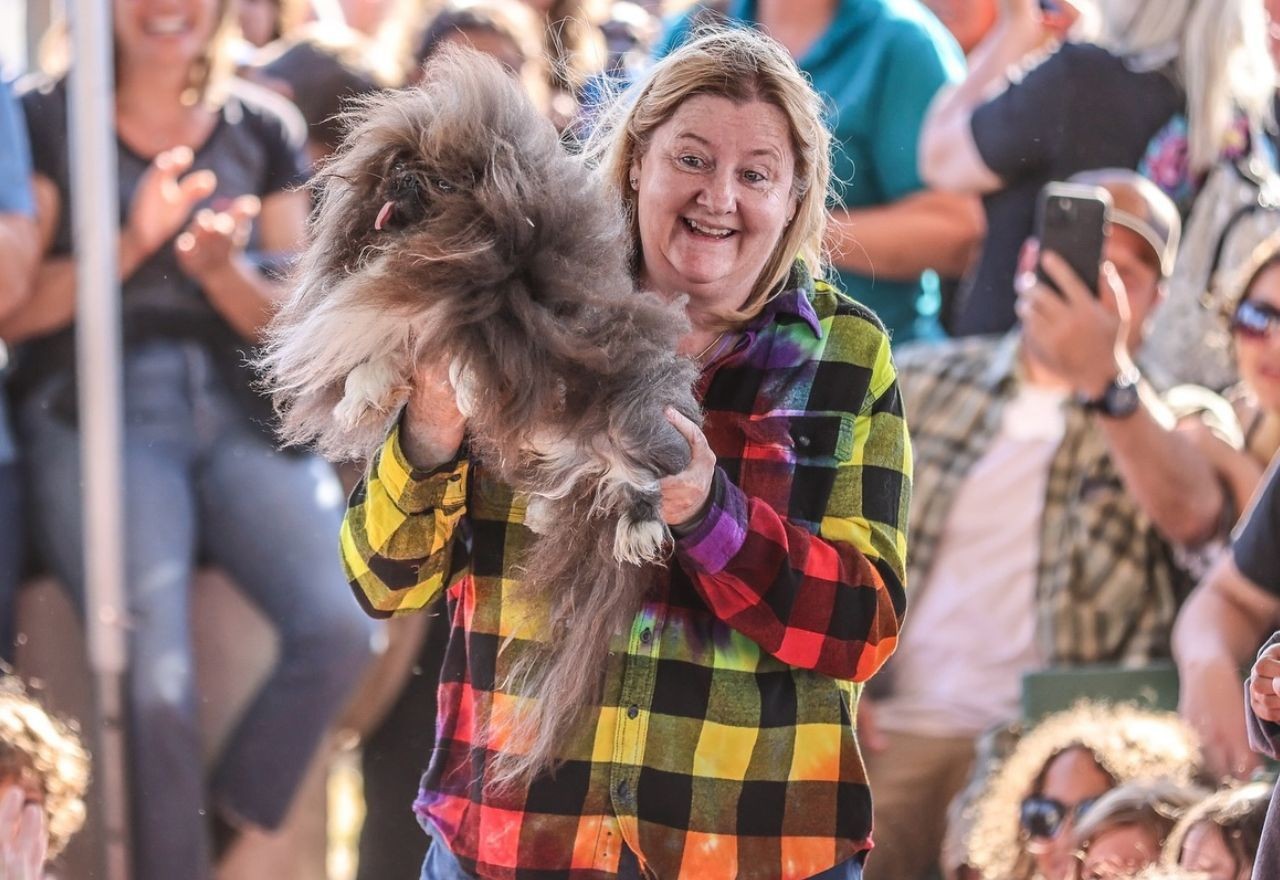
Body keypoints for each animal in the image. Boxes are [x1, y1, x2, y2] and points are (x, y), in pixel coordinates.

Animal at [257, 44, 701, 787]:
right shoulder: (413, 324)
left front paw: (441, 387)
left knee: (640, 477)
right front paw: (364, 394)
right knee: (584, 488)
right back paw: (552, 507)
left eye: (438, 182)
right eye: (395, 173)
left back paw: (637, 528)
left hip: (629, 425)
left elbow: (444, 339)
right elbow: (388, 356)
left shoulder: (480, 305)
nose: (403, 182)